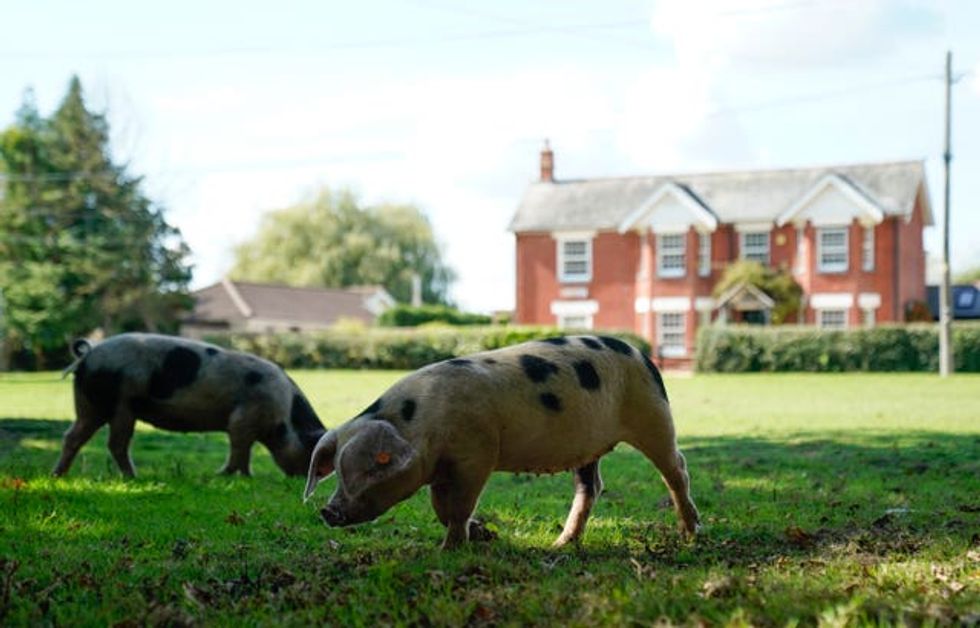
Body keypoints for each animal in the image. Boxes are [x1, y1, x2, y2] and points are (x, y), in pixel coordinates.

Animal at [54, 334, 326, 476]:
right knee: (116, 444)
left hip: (90, 406)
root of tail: (87, 355)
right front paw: (222, 476)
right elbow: (238, 450)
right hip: (122, 404)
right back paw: (134, 477)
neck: (285, 417)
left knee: (73, 436)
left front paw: (246, 476)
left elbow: (245, 454)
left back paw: (58, 474)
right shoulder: (242, 420)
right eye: (311, 451)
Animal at [302, 336, 700, 548]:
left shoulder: (477, 455)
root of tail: (643, 356)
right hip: (590, 449)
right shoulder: (442, 469)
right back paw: (561, 543)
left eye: (371, 466)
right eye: (336, 470)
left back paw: (690, 533)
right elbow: (441, 508)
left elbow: (459, 507)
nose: (328, 511)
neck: (422, 423)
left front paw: (448, 550)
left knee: (677, 469)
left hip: (654, 417)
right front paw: (482, 534)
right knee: (592, 487)